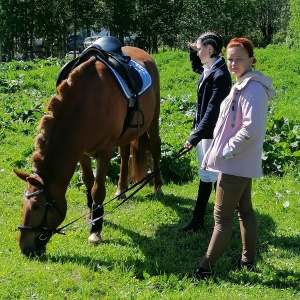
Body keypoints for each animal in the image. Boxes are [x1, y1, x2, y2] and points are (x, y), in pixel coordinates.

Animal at [13, 45, 163, 255]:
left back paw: (157, 185)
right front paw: (92, 216)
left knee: (156, 147)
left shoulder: (105, 152)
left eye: (36, 206)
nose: (24, 247)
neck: (89, 103)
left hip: (153, 118)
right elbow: (87, 183)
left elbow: (98, 189)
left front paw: (95, 231)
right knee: (125, 153)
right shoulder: (81, 152)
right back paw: (121, 189)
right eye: (23, 204)